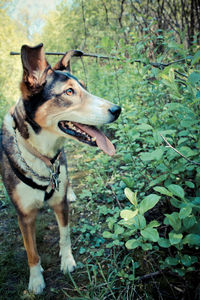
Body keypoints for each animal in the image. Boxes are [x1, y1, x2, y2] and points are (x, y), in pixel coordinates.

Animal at [0, 43, 120, 294]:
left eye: (85, 88)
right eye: (69, 92)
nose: (117, 109)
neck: (42, 155)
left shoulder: (59, 203)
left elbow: (65, 236)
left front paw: (67, 261)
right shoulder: (24, 216)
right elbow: (31, 252)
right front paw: (36, 280)